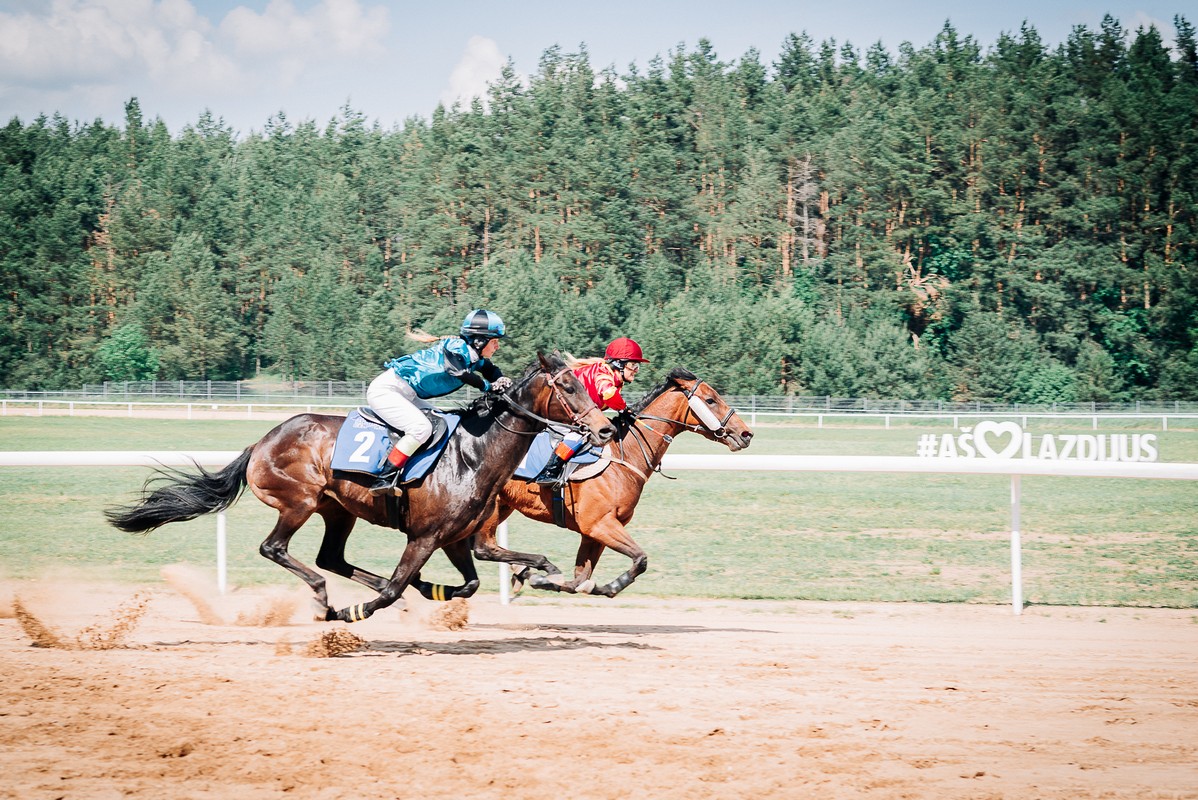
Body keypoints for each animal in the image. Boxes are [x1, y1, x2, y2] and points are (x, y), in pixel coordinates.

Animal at [106, 352, 613, 622]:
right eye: (570, 386)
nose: (606, 429)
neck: (473, 453)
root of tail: (261, 441)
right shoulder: (424, 536)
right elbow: (392, 592)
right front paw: (356, 611)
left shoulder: (454, 537)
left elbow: (470, 582)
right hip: (300, 501)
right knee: (276, 549)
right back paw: (324, 600)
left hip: (339, 511)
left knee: (331, 558)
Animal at [464, 366, 747, 594]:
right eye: (710, 400)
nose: (746, 433)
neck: (625, 454)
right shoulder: (599, 525)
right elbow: (640, 558)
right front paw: (610, 585)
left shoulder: (594, 533)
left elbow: (580, 580)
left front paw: (554, 581)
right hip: (489, 508)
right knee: (484, 547)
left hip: (503, 506)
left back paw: (520, 570)